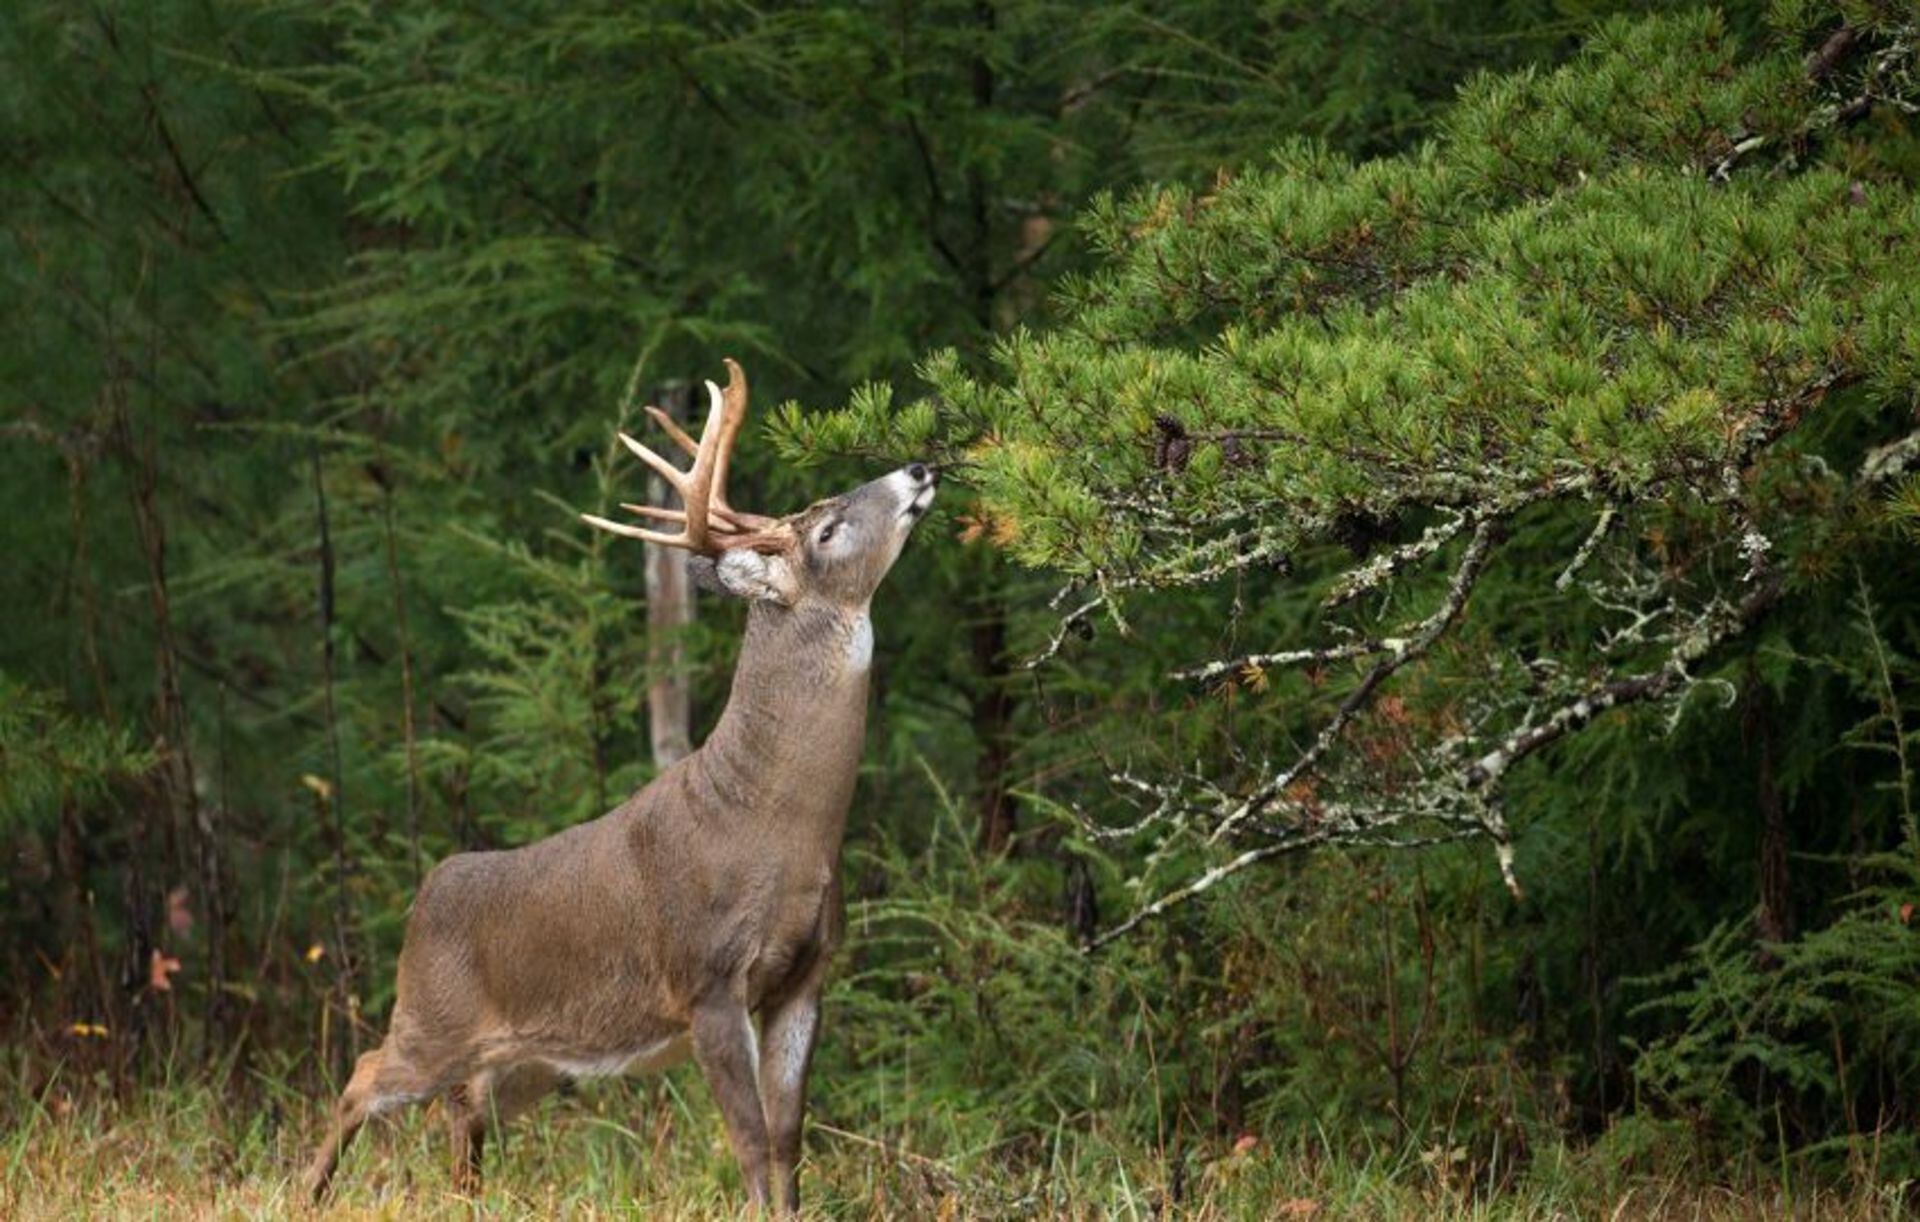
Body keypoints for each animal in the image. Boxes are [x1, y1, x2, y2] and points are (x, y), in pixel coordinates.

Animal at [303, 357, 933, 1206]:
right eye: (827, 529)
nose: (919, 467)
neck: (777, 825)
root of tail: (425, 894)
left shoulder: (805, 977)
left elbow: (788, 1142)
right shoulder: (707, 978)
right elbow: (749, 1140)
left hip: (529, 1058)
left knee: (462, 1110)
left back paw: (466, 1199)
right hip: (431, 1018)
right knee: (364, 1076)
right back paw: (307, 1192)